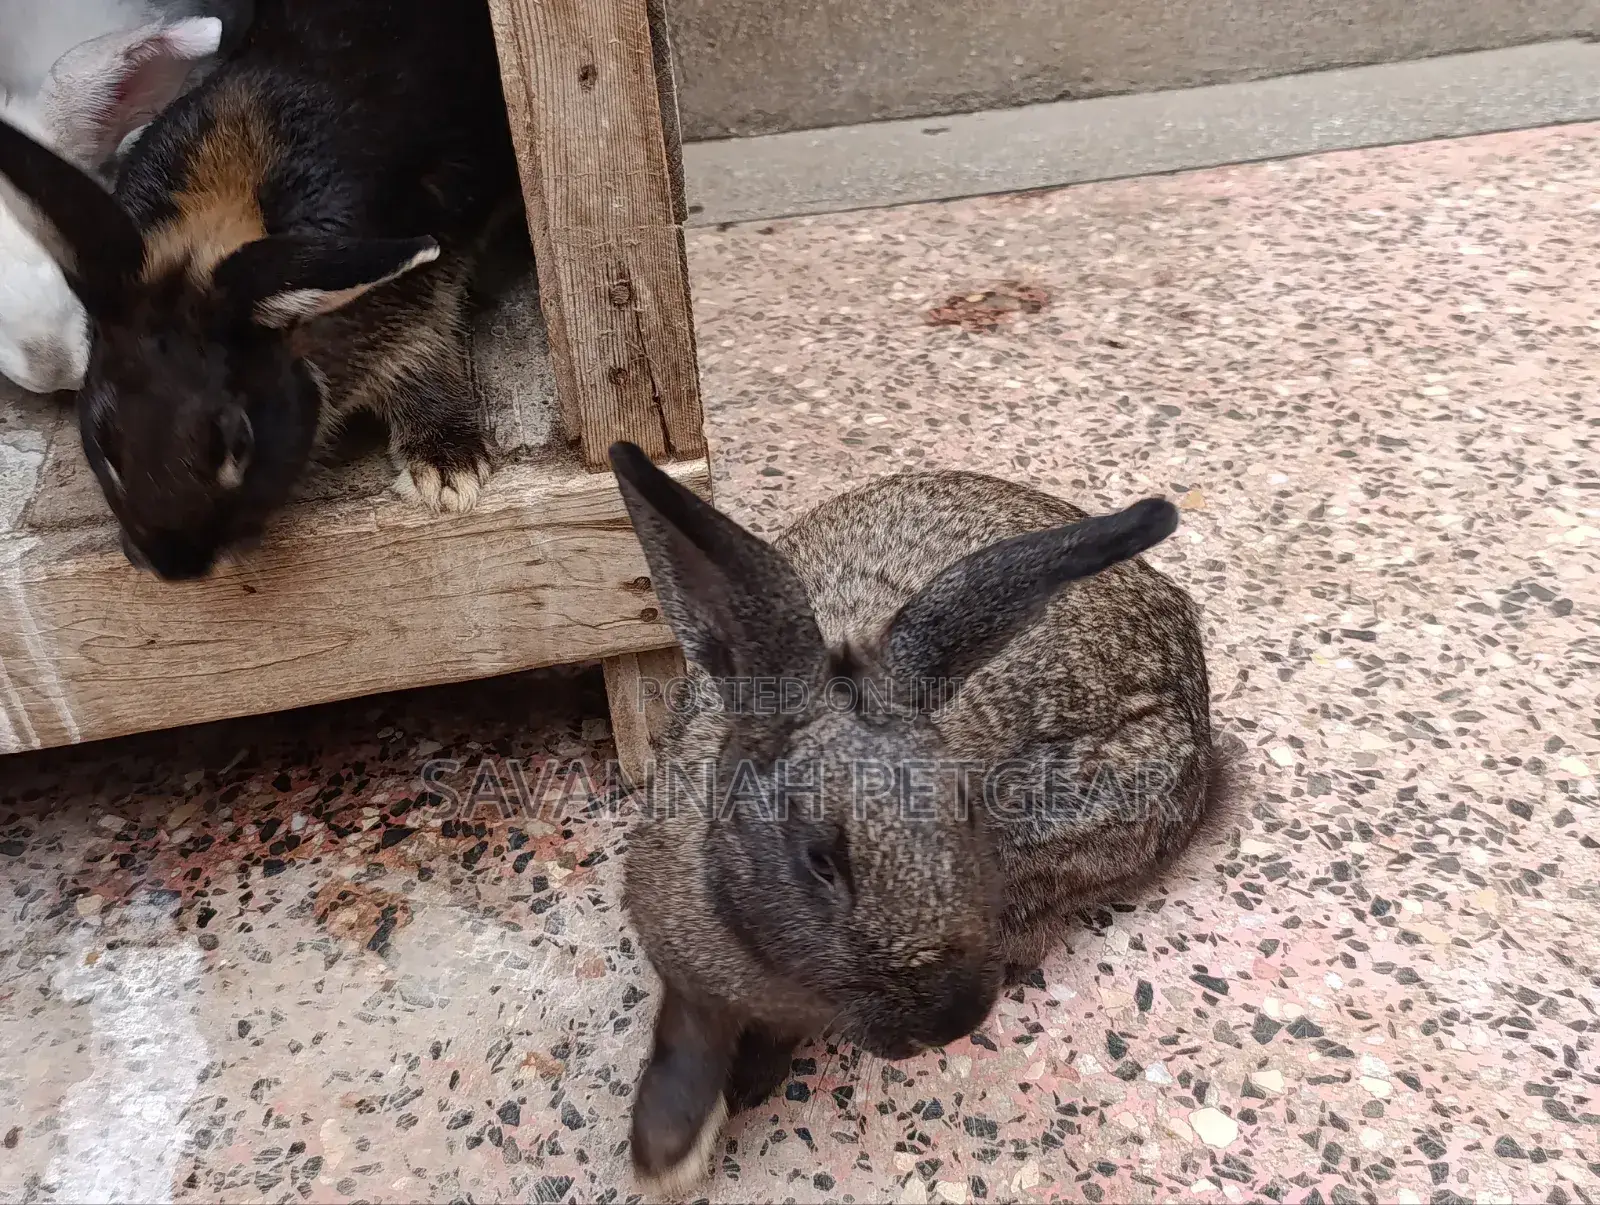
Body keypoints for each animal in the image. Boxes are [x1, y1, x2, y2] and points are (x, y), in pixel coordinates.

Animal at [606, 441, 1221, 1196]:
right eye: (820, 859)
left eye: (965, 808)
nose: (955, 1020)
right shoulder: (687, 977)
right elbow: (681, 1044)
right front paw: (662, 1153)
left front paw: (742, 1092)